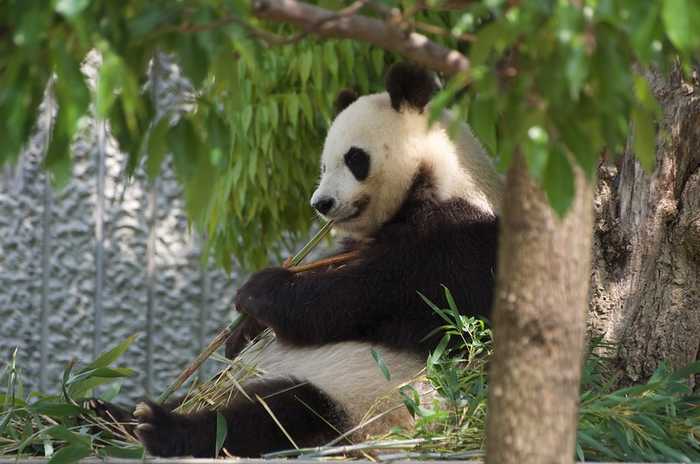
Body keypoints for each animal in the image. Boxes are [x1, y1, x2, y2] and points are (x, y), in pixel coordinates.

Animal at [129, 62, 502, 458]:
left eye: (354, 158)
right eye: (323, 165)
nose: (321, 203)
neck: (441, 177)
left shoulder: (458, 244)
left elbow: (362, 298)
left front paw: (257, 291)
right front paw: (242, 331)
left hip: (367, 403)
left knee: (277, 415)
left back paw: (162, 427)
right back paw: (116, 415)